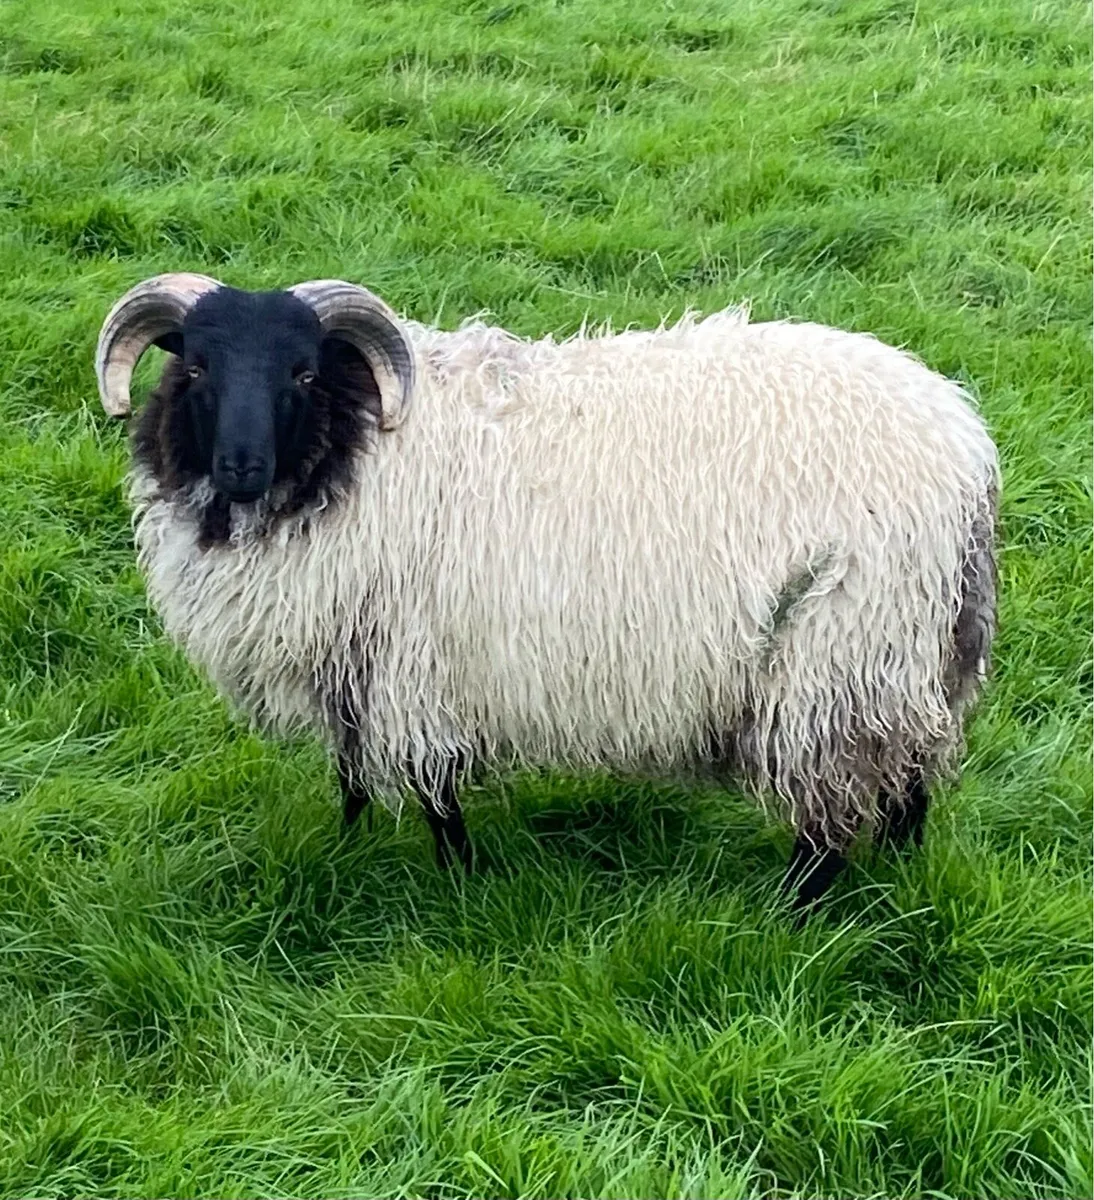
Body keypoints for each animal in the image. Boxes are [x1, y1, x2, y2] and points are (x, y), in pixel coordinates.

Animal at [94, 273, 1000, 910]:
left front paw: (458, 881)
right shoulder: (351, 663)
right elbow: (350, 779)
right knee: (909, 777)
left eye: (306, 373)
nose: (240, 466)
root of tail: (963, 442)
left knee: (833, 807)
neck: (357, 447)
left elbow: (435, 793)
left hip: (841, 643)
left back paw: (792, 913)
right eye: (196, 365)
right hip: (908, 650)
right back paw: (899, 877)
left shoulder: (407, 662)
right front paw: (347, 854)